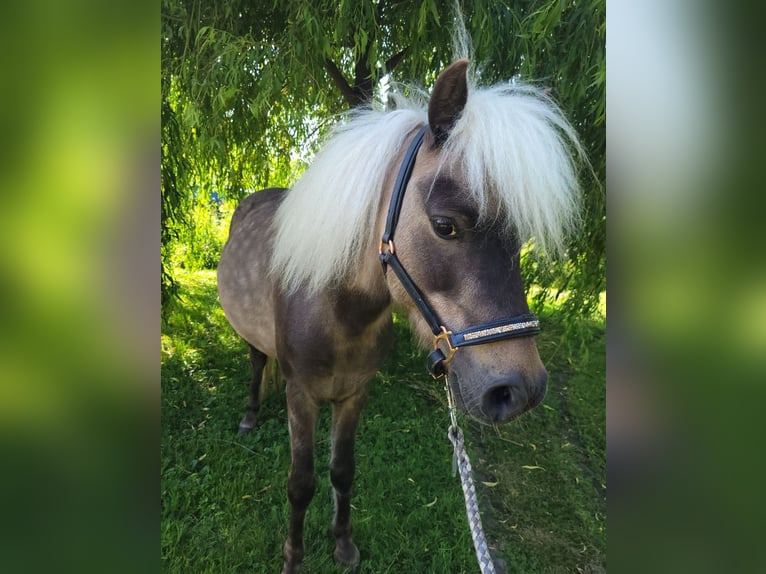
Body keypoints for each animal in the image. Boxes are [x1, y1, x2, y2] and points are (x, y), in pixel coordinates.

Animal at [217, 59, 583, 573]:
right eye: (445, 225)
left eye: (521, 237)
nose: (519, 390)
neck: (338, 314)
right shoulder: (301, 396)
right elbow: (300, 484)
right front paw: (293, 559)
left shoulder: (355, 394)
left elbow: (343, 471)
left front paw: (344, 546)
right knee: (255, 363)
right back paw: (249, 417)